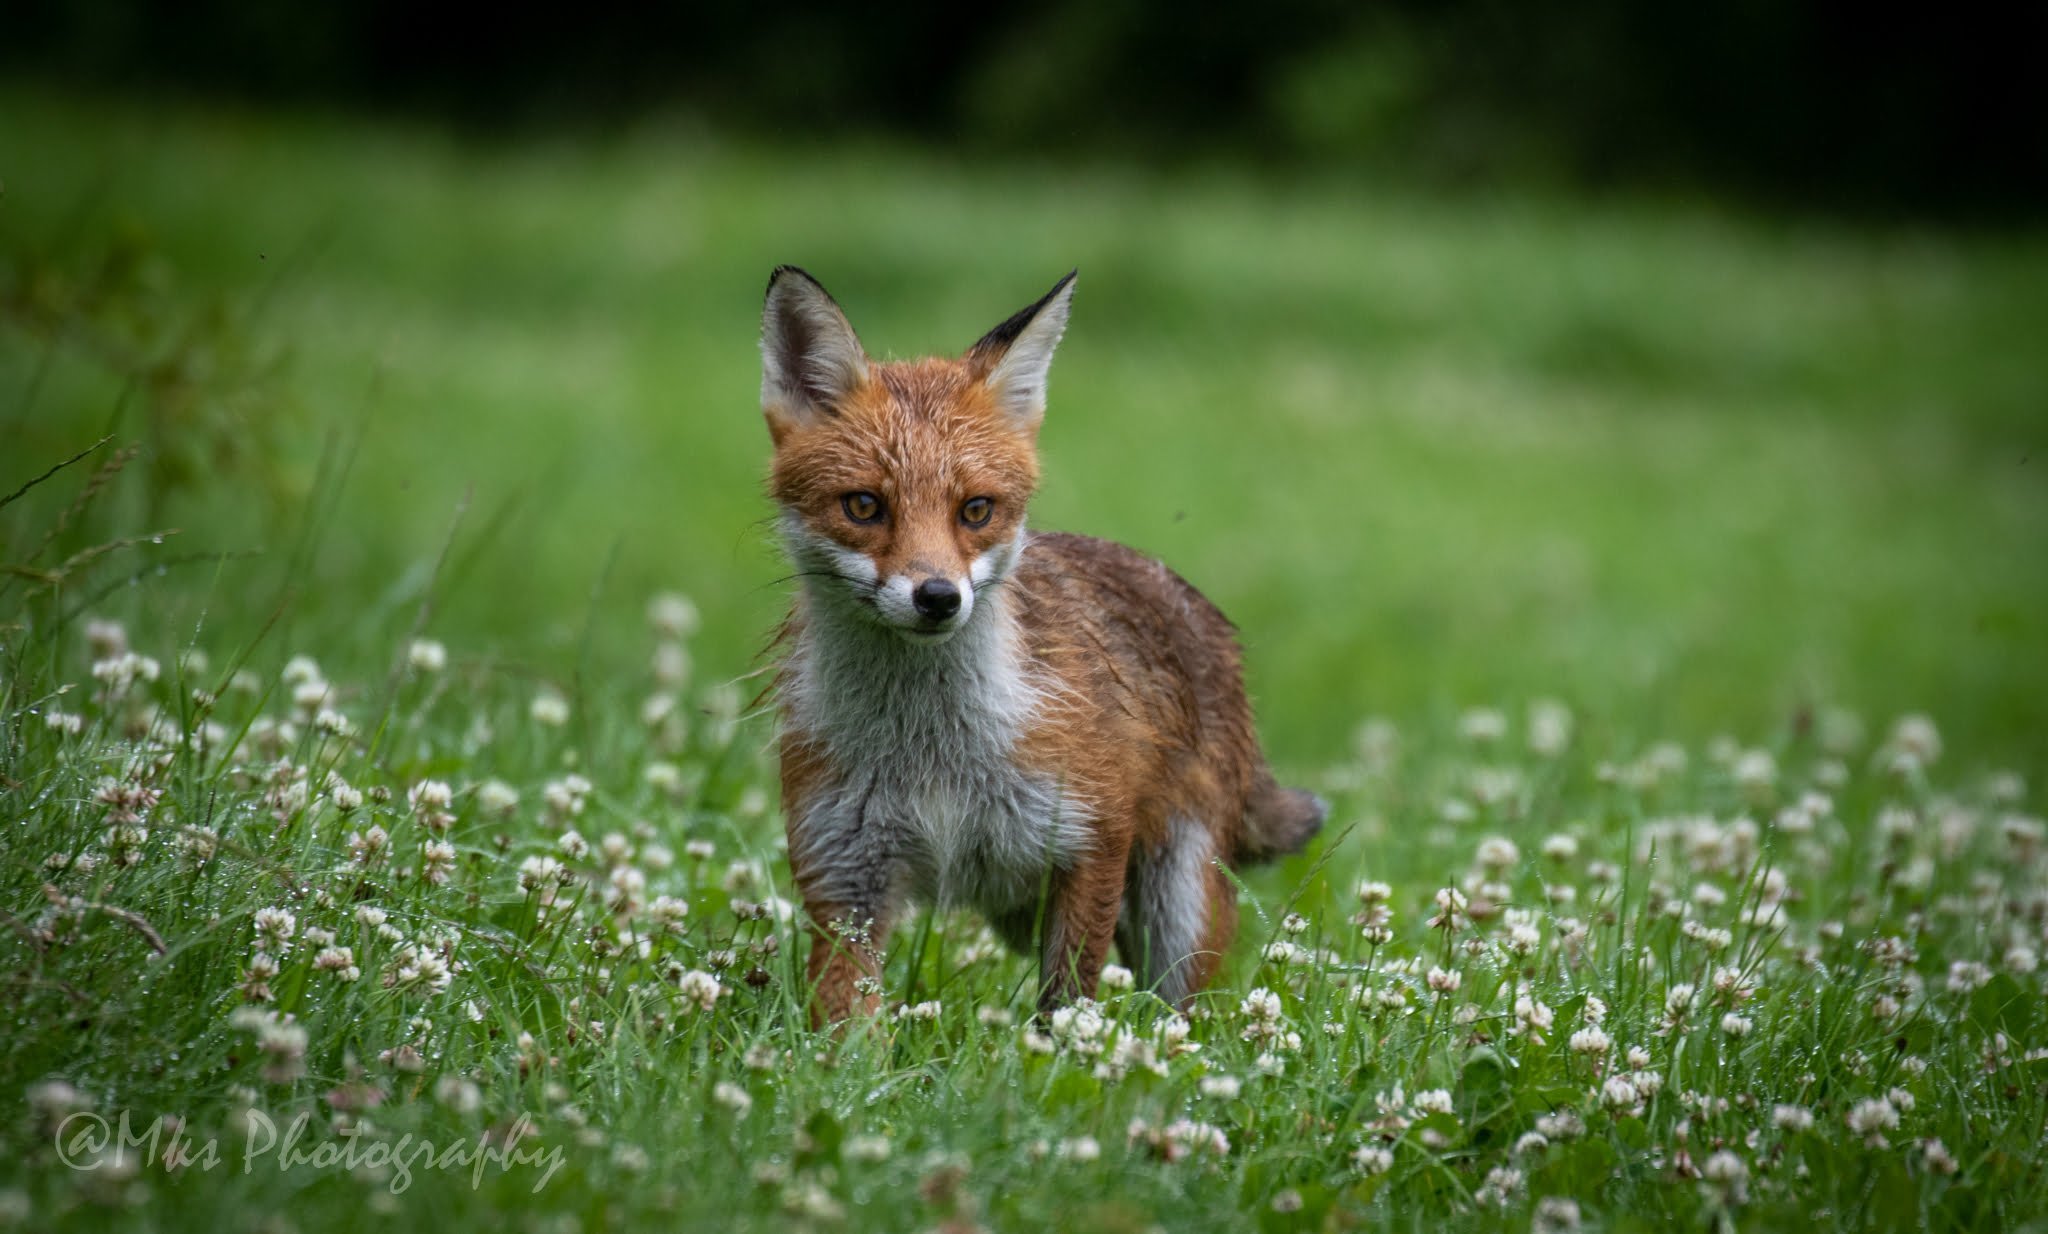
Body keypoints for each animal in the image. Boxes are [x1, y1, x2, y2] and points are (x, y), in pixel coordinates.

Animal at [759, 266, 1325, 1026]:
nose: (937, 597)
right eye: (864, 506)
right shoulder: (844, 870)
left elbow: (1065, 1006)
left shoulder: (1090, 839)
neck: (933, 753)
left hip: (1176, 910)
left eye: (976, 510)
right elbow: (845, 1022)